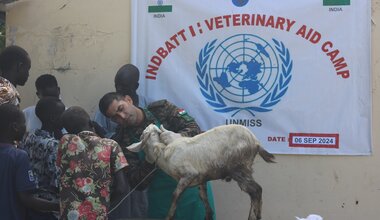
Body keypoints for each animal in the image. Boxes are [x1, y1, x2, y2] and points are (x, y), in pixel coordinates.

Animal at [127, 124, 276, 220]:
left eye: (143, 133)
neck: (163, 151)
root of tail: (256, 141)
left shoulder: (188, 174)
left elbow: (175, 195)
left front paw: (168, 216)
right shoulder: (201, 179)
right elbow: (203, 198)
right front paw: (208, 215)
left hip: (238, 168)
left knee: (256, 190)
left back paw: (254, 217)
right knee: (254, 192)